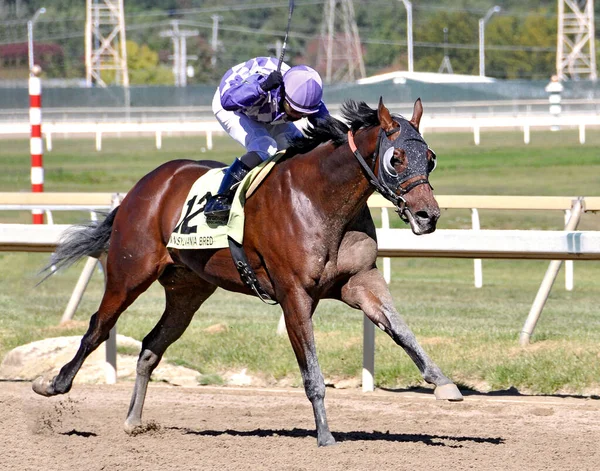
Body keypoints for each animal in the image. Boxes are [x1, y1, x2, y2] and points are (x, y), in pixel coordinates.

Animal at [32, 98, 462, 446]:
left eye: (431, 157)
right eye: (396, 159)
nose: (428, 215)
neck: (321, 198)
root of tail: (144, 186)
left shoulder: (360, 281)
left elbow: (401, 329)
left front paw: (443, 383)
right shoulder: (294, 295)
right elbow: (312, 373)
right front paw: (325, 436)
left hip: (188, 289)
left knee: (152, 346)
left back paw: (134, 420)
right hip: (129, 273)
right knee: (97, 327)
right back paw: (53, 383)